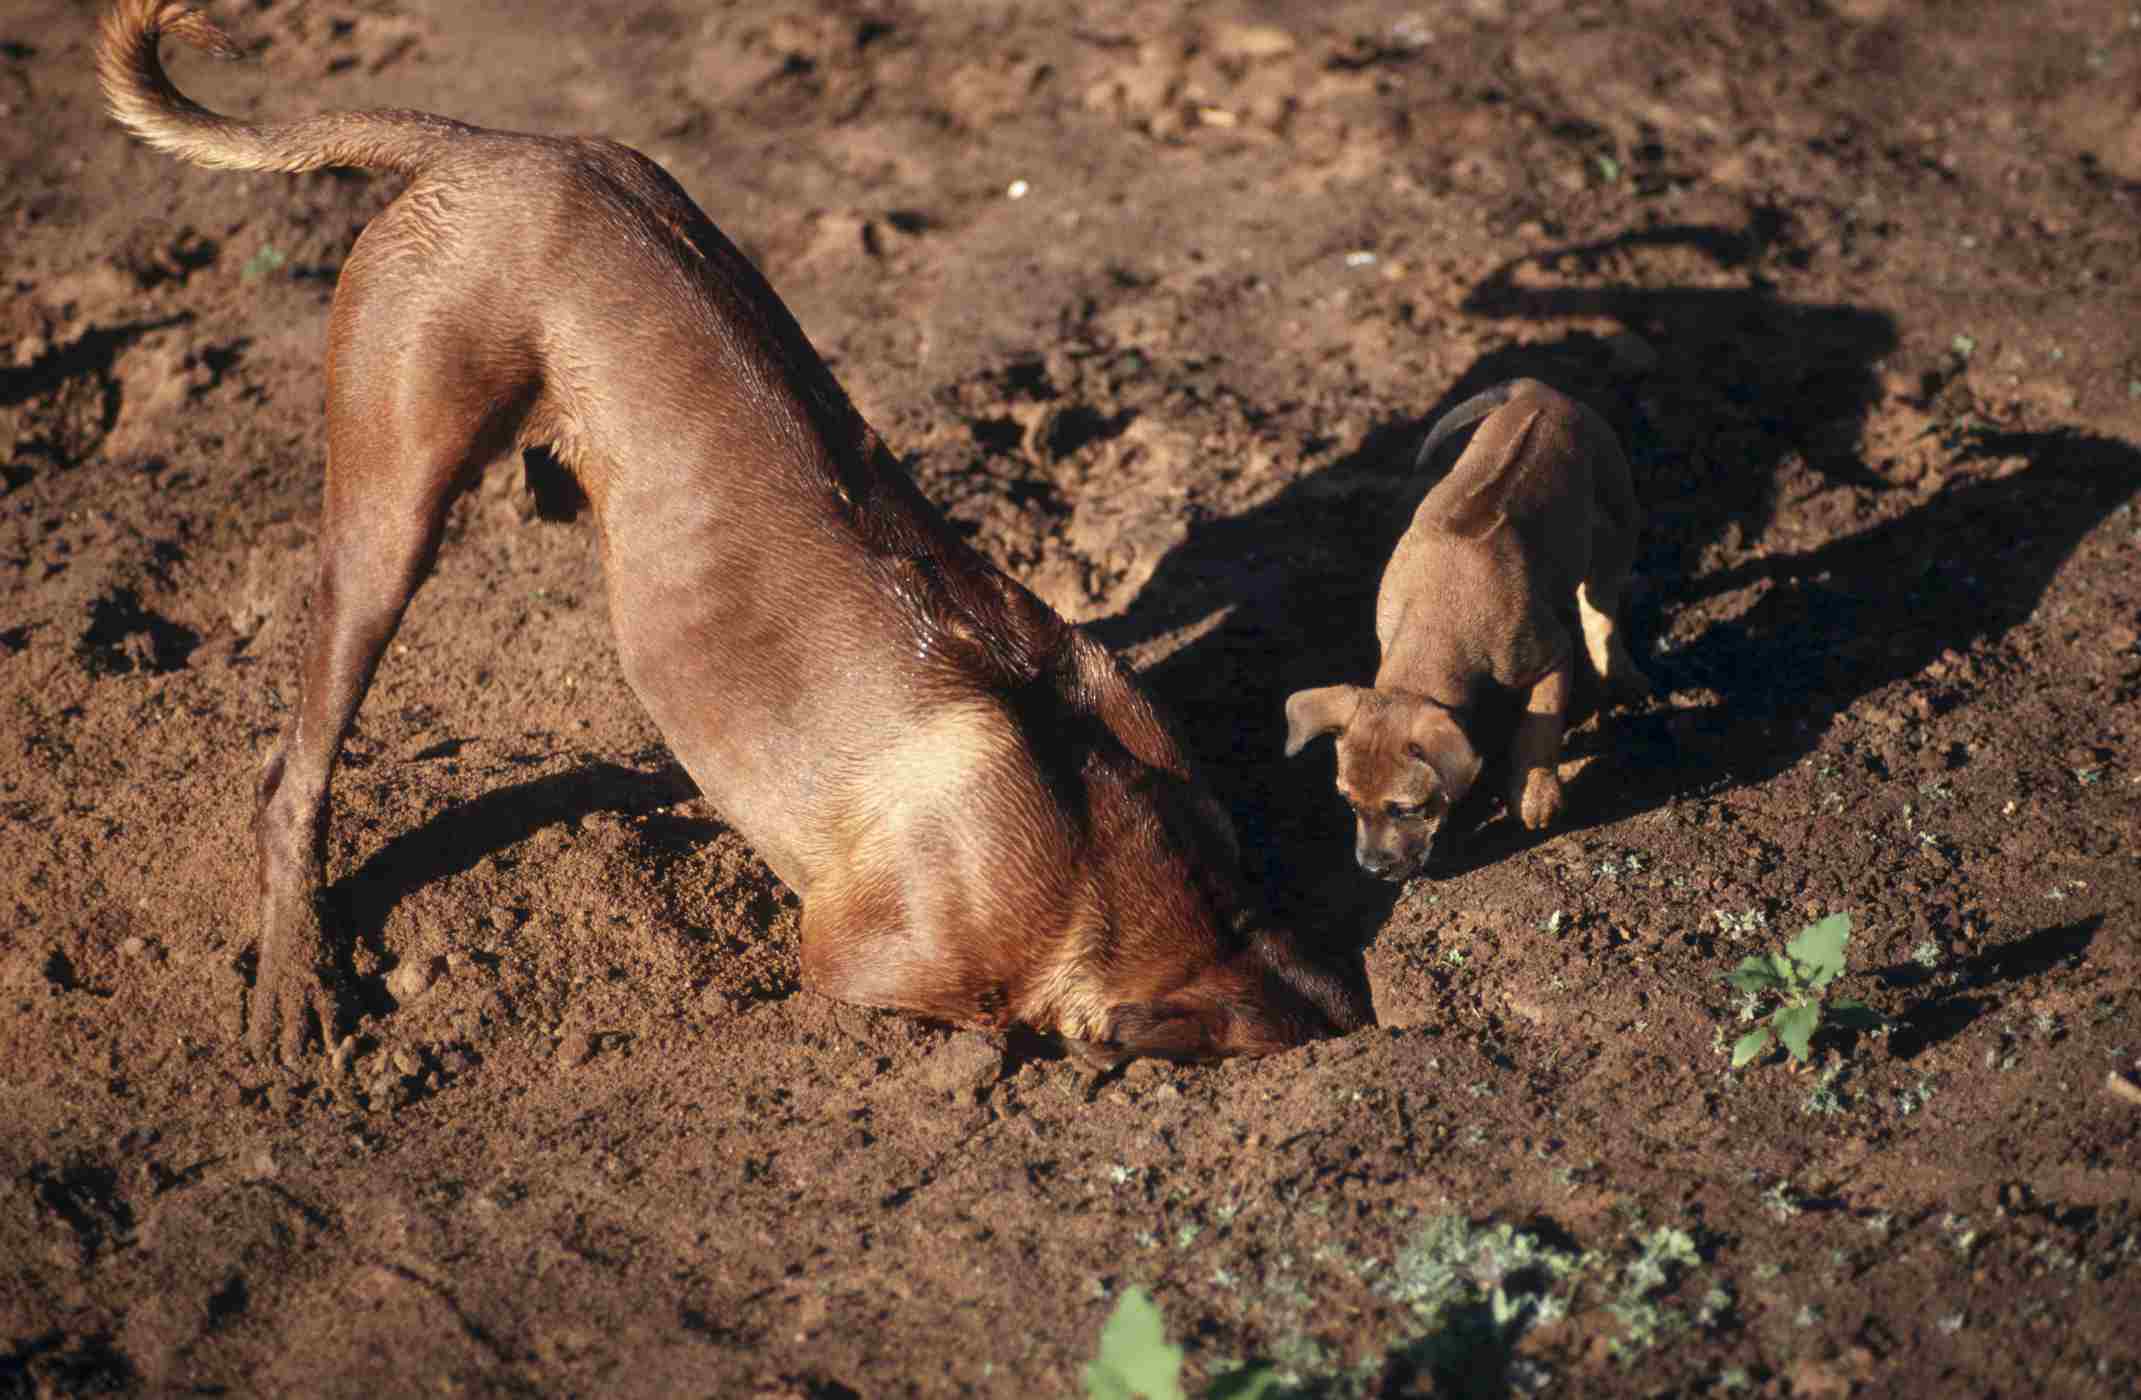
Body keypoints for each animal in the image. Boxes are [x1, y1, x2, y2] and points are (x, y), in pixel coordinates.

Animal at [96, 0, 1370, 1070]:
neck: (1107, 850)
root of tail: (484, 145)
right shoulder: (851, 953)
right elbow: (985, 1014)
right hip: (390, 507)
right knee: (289, 773)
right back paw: (296, 979)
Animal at [1276, 372, 1644, 877]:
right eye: (1350, 803)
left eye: (1407, 809)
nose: (1371, 868)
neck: (1435, 627)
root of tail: (1540, 389)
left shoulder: (1550, 656)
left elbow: (1540, 726)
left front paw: (1535, 795)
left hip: (1616, 521)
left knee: (1601, 610)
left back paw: (1621, 674)